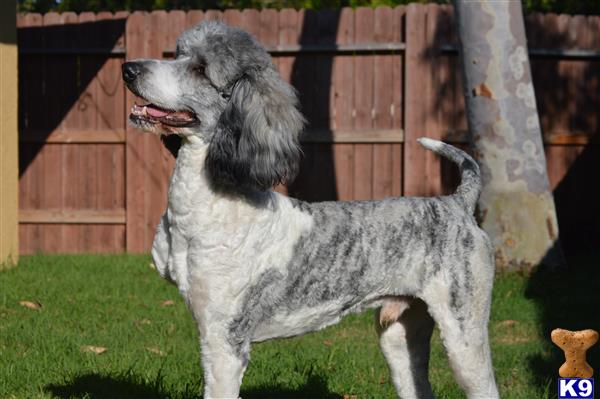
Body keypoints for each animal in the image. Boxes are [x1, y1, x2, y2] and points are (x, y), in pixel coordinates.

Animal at [119, 21, 500, 399]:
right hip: (400, 335)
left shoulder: (224, 340)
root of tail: (456, 202)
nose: (129, 68)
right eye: (178, 53)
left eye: (200, 68)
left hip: (464, 333)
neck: (211, 204)